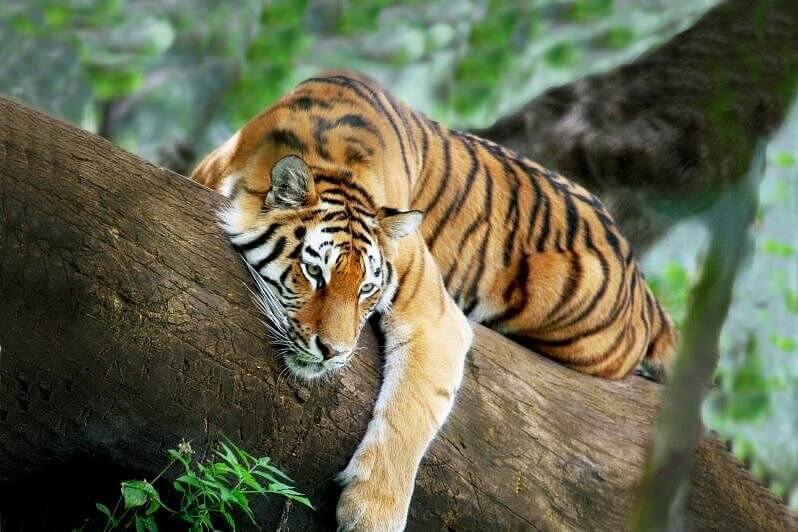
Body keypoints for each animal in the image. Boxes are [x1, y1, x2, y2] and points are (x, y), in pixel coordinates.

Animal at [191, 71, 676, 531]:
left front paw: (372, 513)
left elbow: (411, 409)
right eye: (314, 273)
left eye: (366, 288)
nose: (334, 353)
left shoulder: (435, 315)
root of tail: (641, 280)